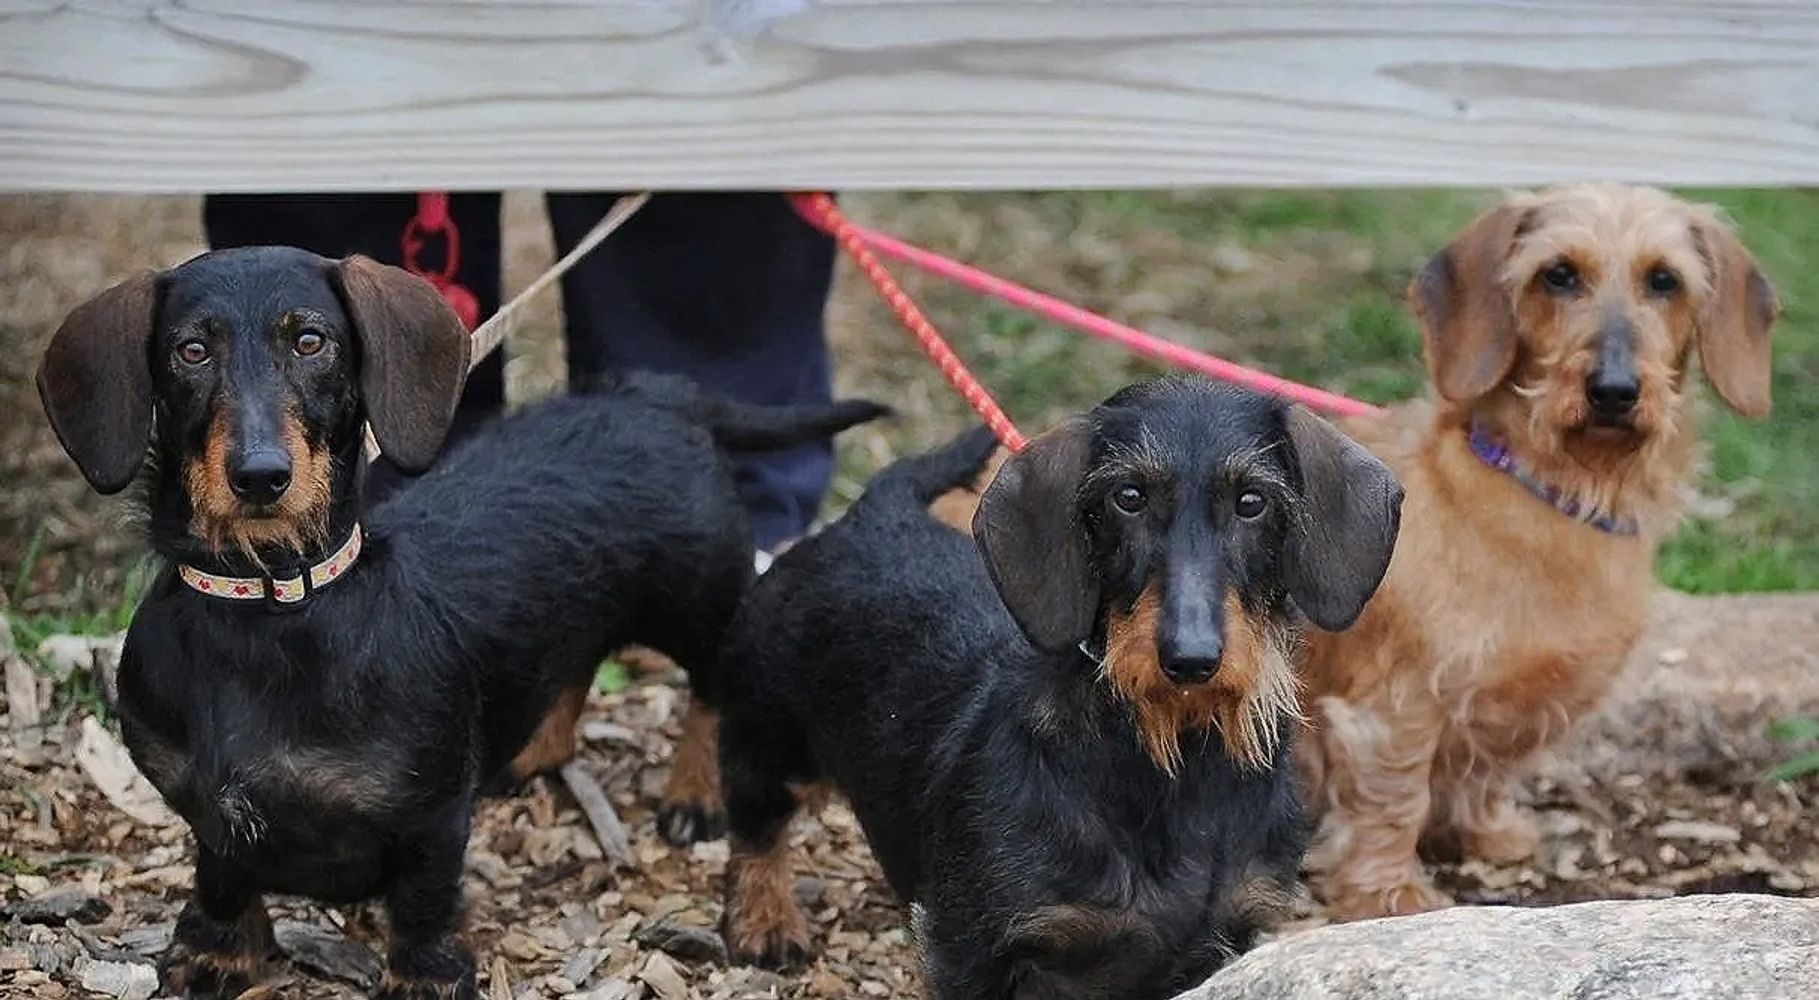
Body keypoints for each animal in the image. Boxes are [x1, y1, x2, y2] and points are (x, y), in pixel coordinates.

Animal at [1302, 186, 1782, 923]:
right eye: (1557, 274)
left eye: (1664, 280)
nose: (1613, 390)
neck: (1552, 496)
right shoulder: (1392, 706)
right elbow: (1394, 796)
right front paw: (1387, 893)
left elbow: (1488, 768)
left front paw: (1489, 832)